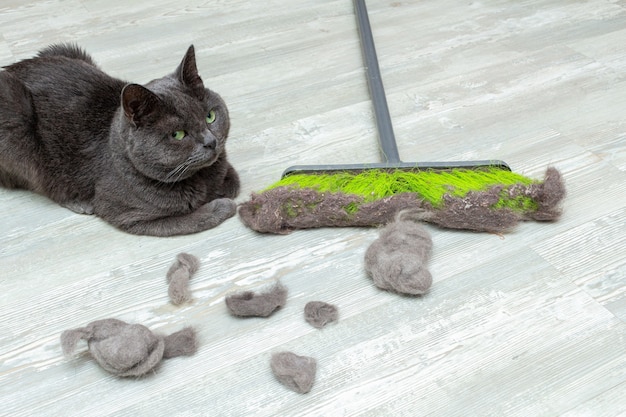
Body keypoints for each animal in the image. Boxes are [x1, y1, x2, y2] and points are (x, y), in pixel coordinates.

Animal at [0, 44, 239, 236]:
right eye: (178, 134)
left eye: (210, 116)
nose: (211, 141)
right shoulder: (131, 216)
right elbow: (188, 219)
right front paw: (220, 205)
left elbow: (232, 180)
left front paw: (223, 185)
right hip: (17, 120)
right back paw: (79, 201)